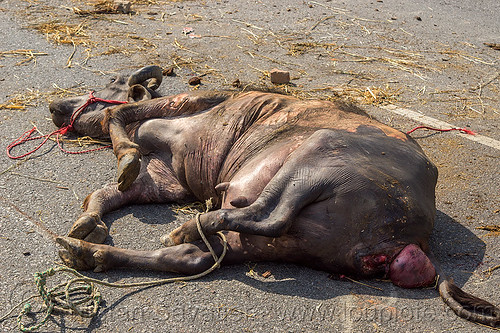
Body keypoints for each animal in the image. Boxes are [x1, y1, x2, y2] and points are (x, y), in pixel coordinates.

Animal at [49, 65, 500, 326]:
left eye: (112, 82)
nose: (56, 105)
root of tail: (412, 241)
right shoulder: (166, 179)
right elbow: (107, 193)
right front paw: (87, 224)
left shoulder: (187, 104)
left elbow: (116, 115)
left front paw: (124, 158)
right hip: (291, 241)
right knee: (201, 254)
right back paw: (88, 251)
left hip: (316, 158)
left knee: (269, 213)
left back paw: (188, 227)